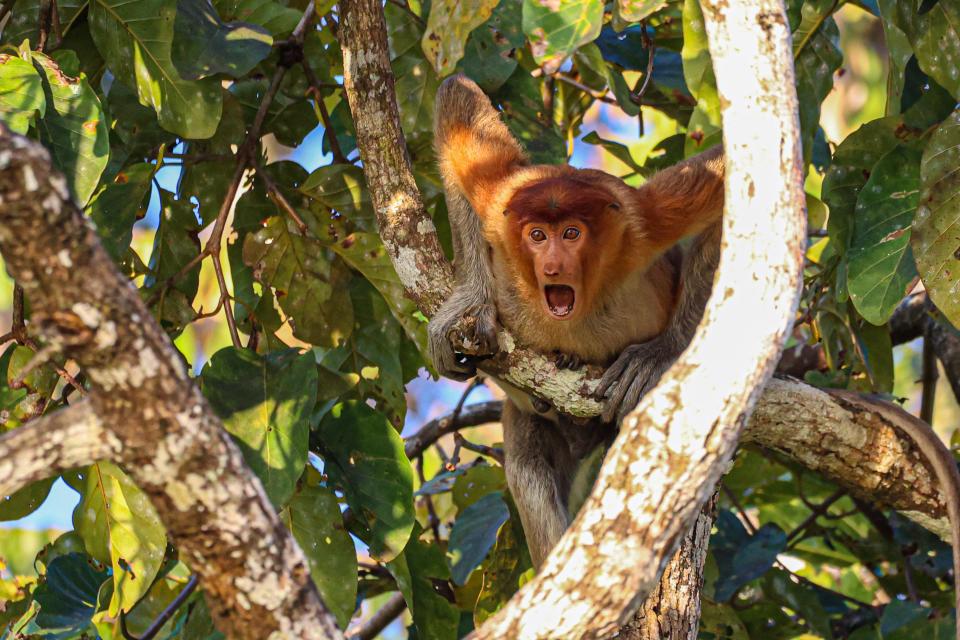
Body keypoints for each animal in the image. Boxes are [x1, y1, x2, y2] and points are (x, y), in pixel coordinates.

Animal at [432, 72, 724, 568]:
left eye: (572, 233)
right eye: (537, 235)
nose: (552, 267)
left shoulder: (642, 225)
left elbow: (728, 182)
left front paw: (658, 354)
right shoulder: (499, 204)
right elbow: (457, 102)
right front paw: (472, 302)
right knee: (528, 467)